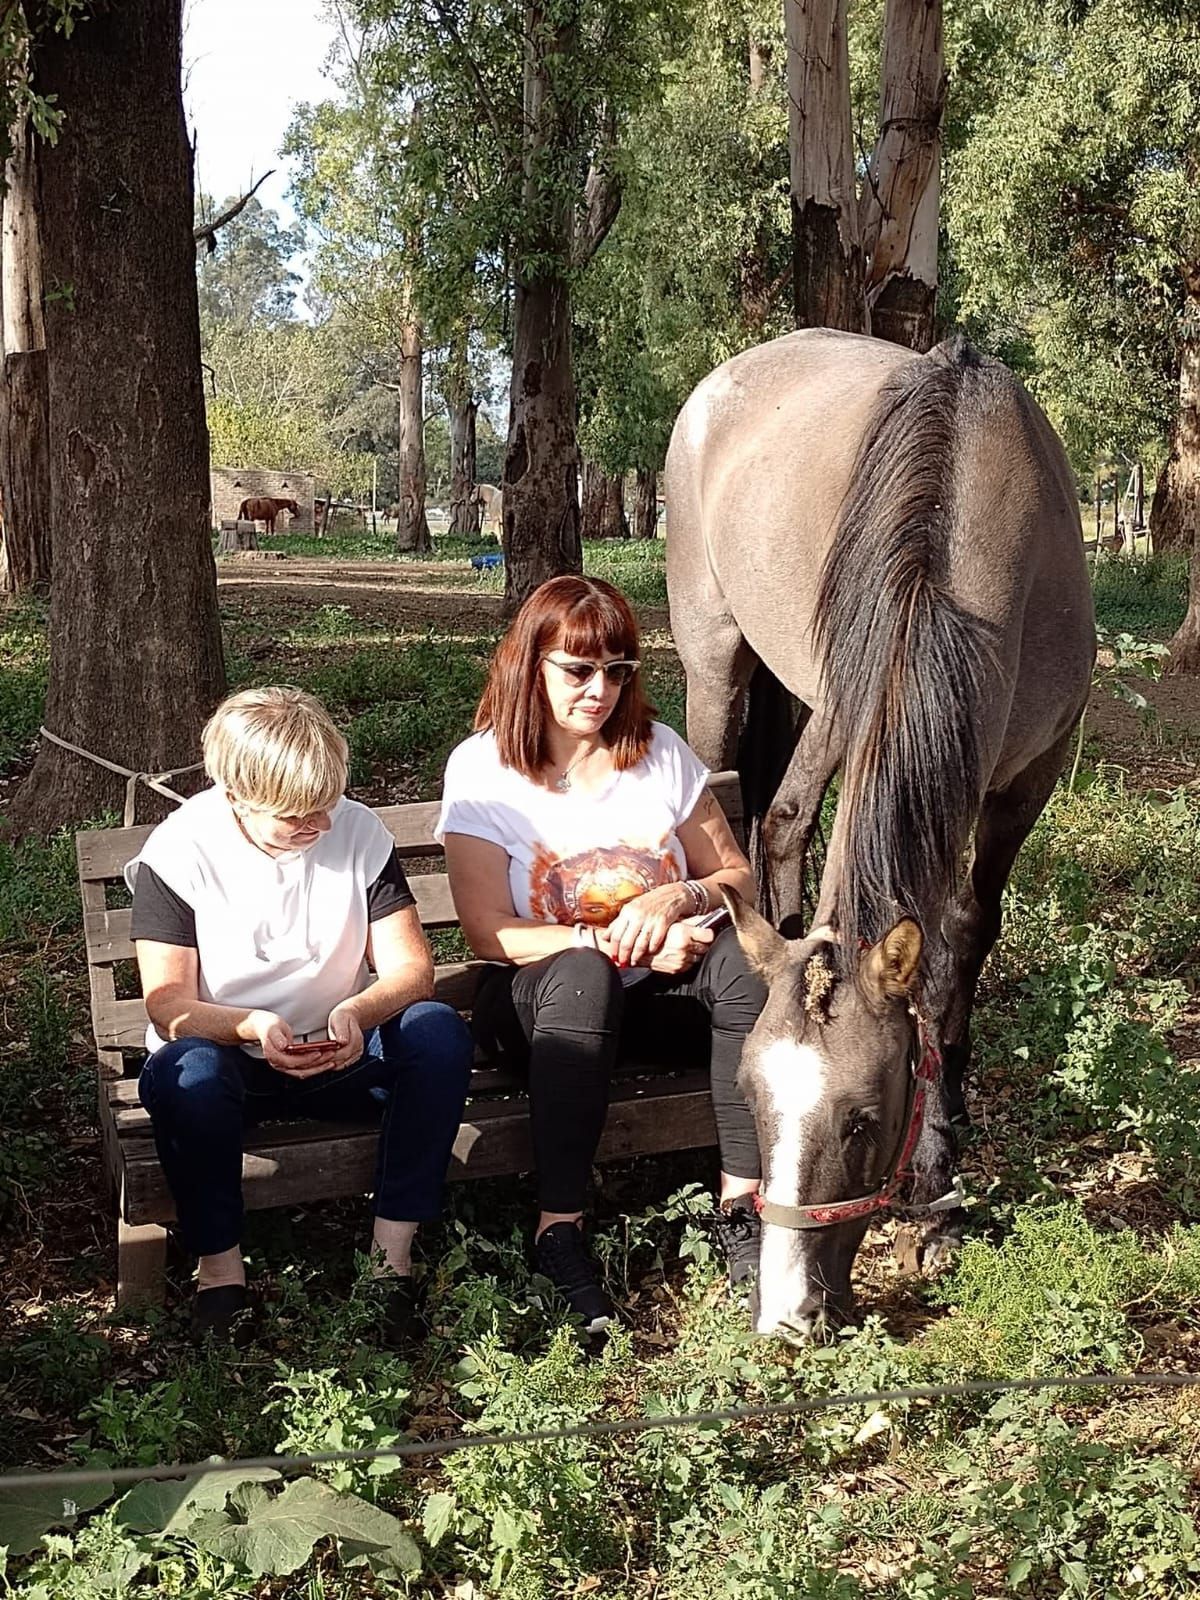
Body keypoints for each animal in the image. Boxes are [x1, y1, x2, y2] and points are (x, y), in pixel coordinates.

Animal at [665, 329, 1095, 1338]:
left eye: (863, 1119)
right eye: (748, 1102)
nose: (786, 1313)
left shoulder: (1027, 773)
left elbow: (960, 940)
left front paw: (942, 1171)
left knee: (782, 822)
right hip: (722, 663)